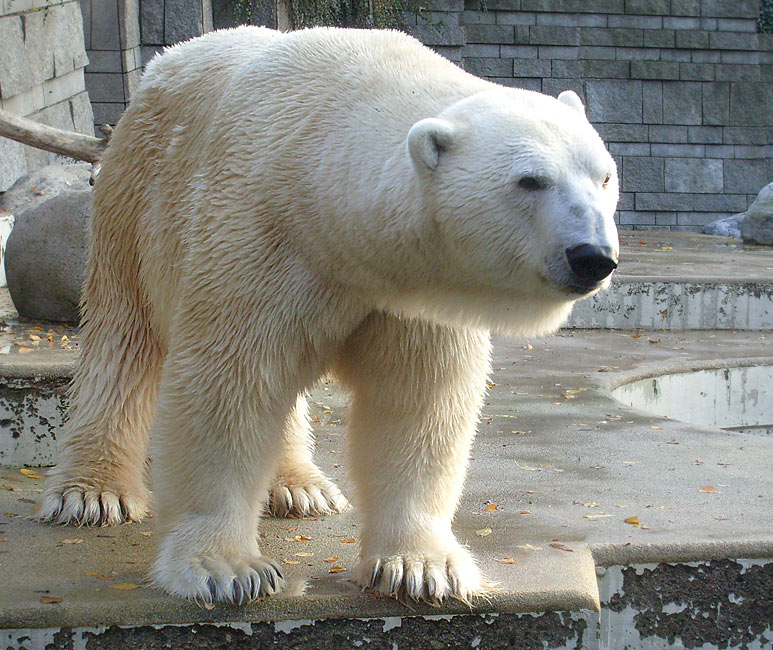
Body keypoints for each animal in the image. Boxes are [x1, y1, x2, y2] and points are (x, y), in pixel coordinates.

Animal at [36, 25, 620, 604]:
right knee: (122, 339)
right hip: (134, 200)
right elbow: (226, 388)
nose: (592, 255)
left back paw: (301, 487)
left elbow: (418, 402)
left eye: (605, 175)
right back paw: (92, 493)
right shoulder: (257, 233)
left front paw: (421, 567)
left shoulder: (412, 290)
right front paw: (227, 570)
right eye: (530, 180)